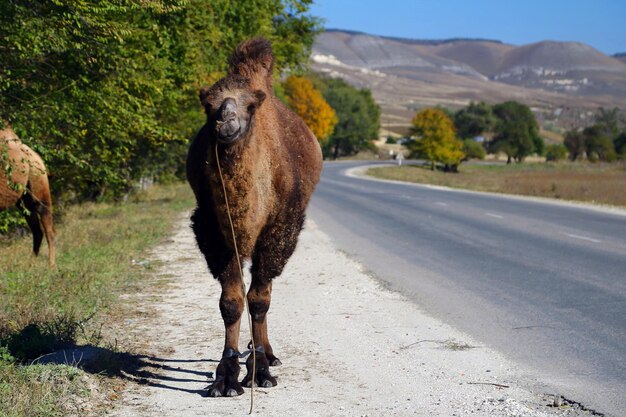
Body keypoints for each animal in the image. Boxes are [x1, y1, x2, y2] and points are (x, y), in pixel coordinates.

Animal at [0, 125, 55, 266]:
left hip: (38, 184)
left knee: (48, 229)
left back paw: (51, 266)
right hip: (24, 201)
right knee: (37, 231)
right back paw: (29, 265)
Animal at [185, 37, 322, 394]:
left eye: (250, 106)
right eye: (209, 105)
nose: (225, 121)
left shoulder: (279, 228)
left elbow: (259, 299)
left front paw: (259, 371)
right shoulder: (214, 231)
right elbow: (231, 302)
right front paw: (226, 376)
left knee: (265, 294)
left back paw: (268, 355)